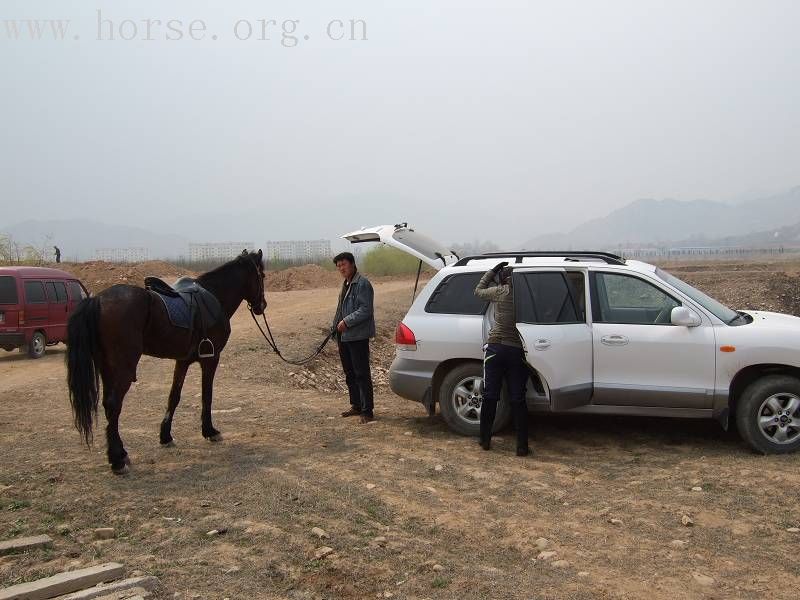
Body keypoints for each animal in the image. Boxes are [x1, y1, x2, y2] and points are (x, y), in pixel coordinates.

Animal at [65, 248, 266, 474]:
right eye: (262, 276)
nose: (262, 305)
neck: (214, 295)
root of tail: (98, 300)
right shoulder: (211, 359)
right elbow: (207, 395)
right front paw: (209, 431)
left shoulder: (183, 361)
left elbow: (174, 396)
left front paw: (166, 436)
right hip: (122, 368)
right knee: (113, 405)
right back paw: (117, 460)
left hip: (106, 368)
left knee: (109, 406)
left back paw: (121, 454)